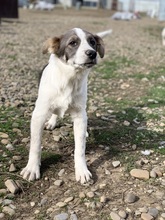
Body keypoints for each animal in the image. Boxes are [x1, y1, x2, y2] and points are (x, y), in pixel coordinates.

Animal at [20, 28, 111, 185]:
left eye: (92, 42)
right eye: (73, 43)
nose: (92, 53)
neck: (70, 79)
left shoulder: (80, 115)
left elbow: (80, 148)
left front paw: (82, 170)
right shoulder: (38, 115)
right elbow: (35, 146)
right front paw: (32, 168)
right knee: (55, 112)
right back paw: (51, 122)